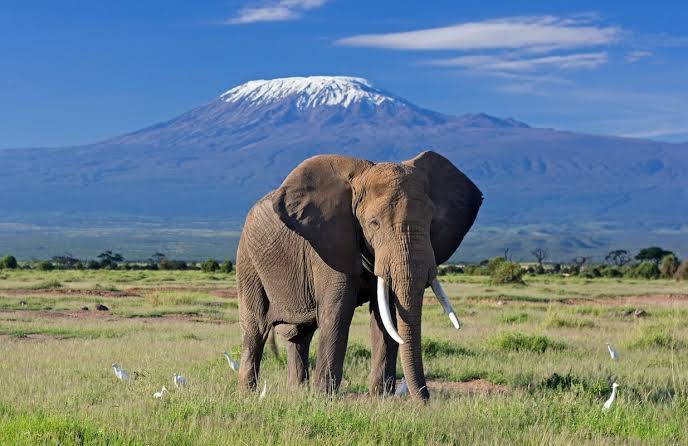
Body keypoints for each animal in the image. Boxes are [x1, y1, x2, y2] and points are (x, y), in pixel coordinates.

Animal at [236, 150, 482, 400]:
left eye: (431, 221)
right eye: (374, 223)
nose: (425, 402)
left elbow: (386, 315)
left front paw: (381, 399)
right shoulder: (330, 243)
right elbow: (338, 311)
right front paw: (325, 399)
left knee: (300, 334)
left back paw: (297, 393)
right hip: (247, 260)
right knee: (256, 328)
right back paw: (248, 395)